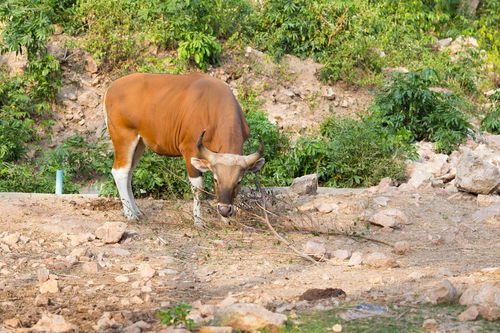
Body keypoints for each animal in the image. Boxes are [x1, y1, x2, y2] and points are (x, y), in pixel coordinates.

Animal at [105, 71, 266, 224]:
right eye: (215, 180)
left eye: (238, 182)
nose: (225, 210)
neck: (213, 108)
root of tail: (111, 88)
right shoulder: (190, 149)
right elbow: (198, 187)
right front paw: (199, 221)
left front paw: (225, 220)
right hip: (123, 137)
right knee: (120, 171)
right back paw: (130, 215)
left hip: (140, 143)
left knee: (129, 172)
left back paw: (136, 211)